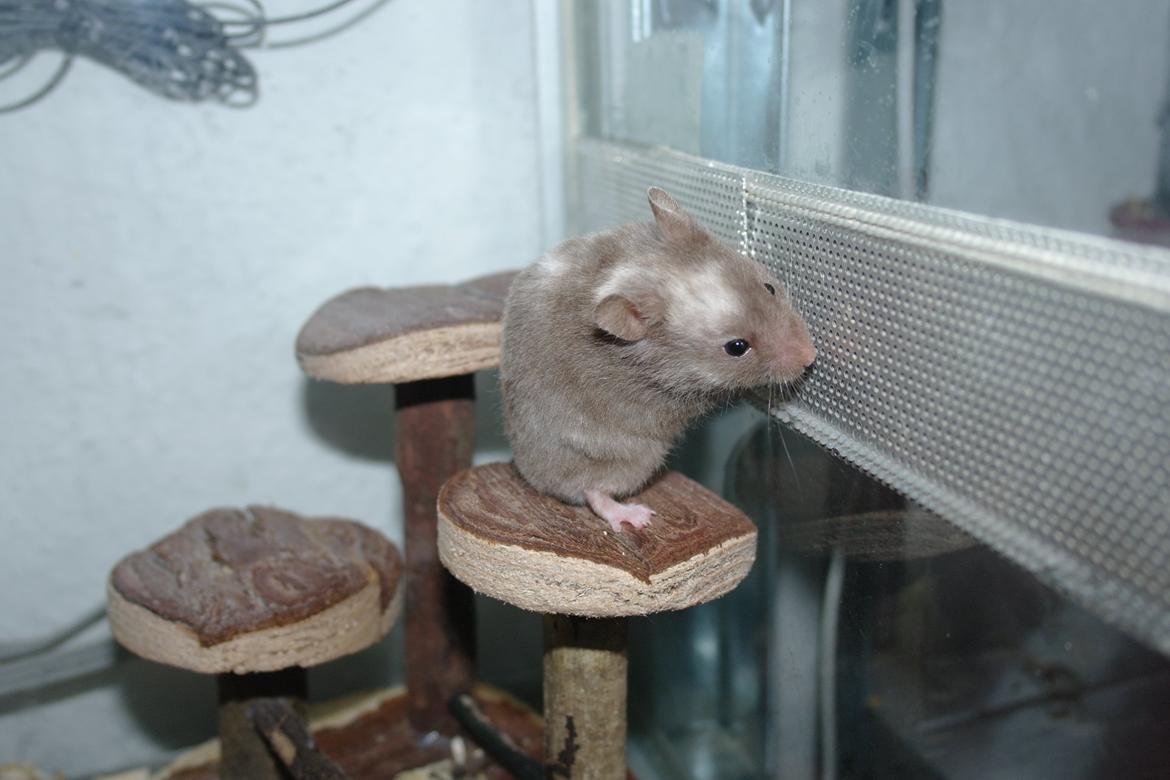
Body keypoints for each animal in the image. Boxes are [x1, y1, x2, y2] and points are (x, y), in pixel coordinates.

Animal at [500, 187, 816, 533]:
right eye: (736, 347)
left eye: (769, 287)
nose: (810, 356)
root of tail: (531, 476)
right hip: (621, 456)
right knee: (593, 492)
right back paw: (635, 516)